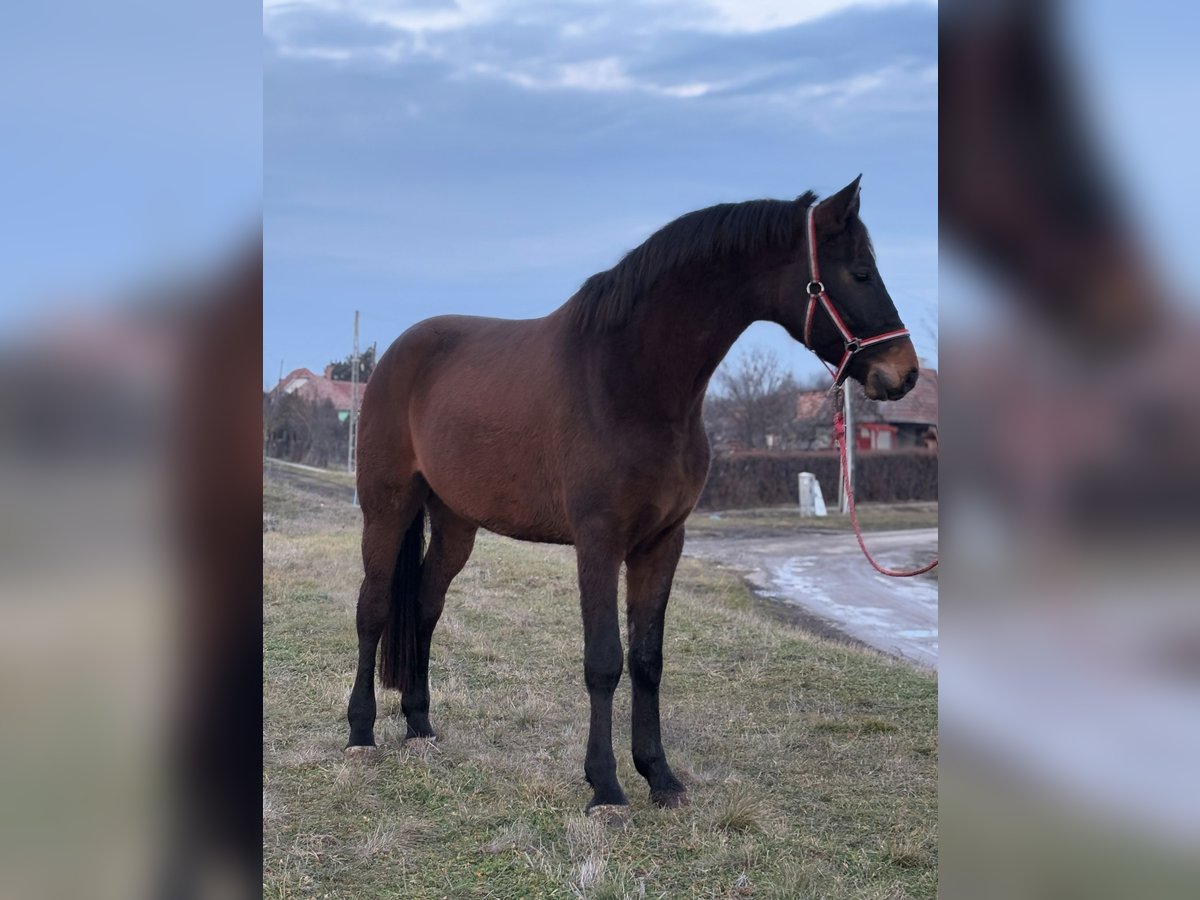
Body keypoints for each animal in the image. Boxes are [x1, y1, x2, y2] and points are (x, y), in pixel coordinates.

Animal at [345, 174, 916, 811]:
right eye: (860, 272)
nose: (905, 372)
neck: (629, 379)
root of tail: (400, 352)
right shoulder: (599, 542)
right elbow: (604, 661)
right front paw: (607, 788)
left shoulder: (662, 543)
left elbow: (647, 660)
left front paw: (660, 776)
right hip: (387, 507)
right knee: (373, 609)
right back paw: (361, 732)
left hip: (455, 522)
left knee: (424, 604)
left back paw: (420, 723)